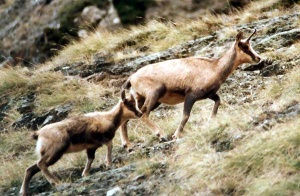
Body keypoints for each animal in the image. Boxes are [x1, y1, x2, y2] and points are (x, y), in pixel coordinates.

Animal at [119, 29, 260, 145]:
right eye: (244, 46)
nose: (258, 58)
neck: (214, 67)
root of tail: (132, 78)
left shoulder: (209, 95)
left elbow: (218, 102)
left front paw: (210, 121)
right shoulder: (190, 96)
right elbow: (186, 115)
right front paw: (176, 135)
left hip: (143, 99)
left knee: (127, 117)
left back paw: (128, 146)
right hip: (154, 94)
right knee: (143, 114)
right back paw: (161, 135)